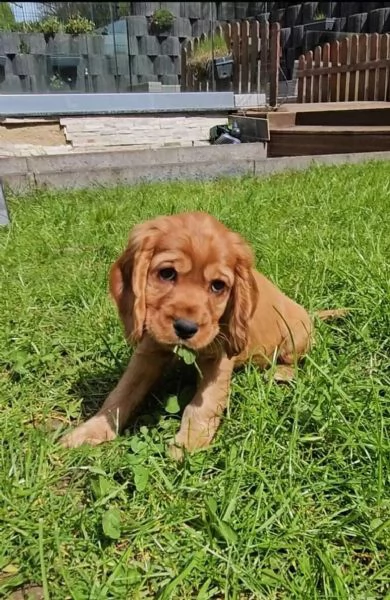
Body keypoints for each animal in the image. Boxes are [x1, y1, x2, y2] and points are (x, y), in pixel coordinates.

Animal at [61, 211, 338, 454]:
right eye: (167, 273)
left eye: (218, 286)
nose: (186, 328)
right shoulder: (148, 350)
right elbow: (120, 394)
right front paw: (91, 431)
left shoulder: (220, 357)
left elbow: (201, 406)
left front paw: (187, 444)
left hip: (295, 338)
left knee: (295, 360)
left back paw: (280, 372)